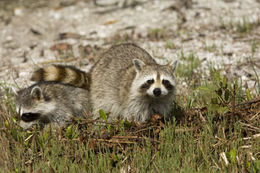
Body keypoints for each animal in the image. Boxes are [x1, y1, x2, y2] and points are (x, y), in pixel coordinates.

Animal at [30, 42, 177, 122]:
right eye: (150, 81)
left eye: (165, 81)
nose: (157, 91)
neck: (152, 98)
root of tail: (93, 71)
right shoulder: (132, 100)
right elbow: (133, 116)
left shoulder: (163, 101)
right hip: (101, 90)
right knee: (105, 107)